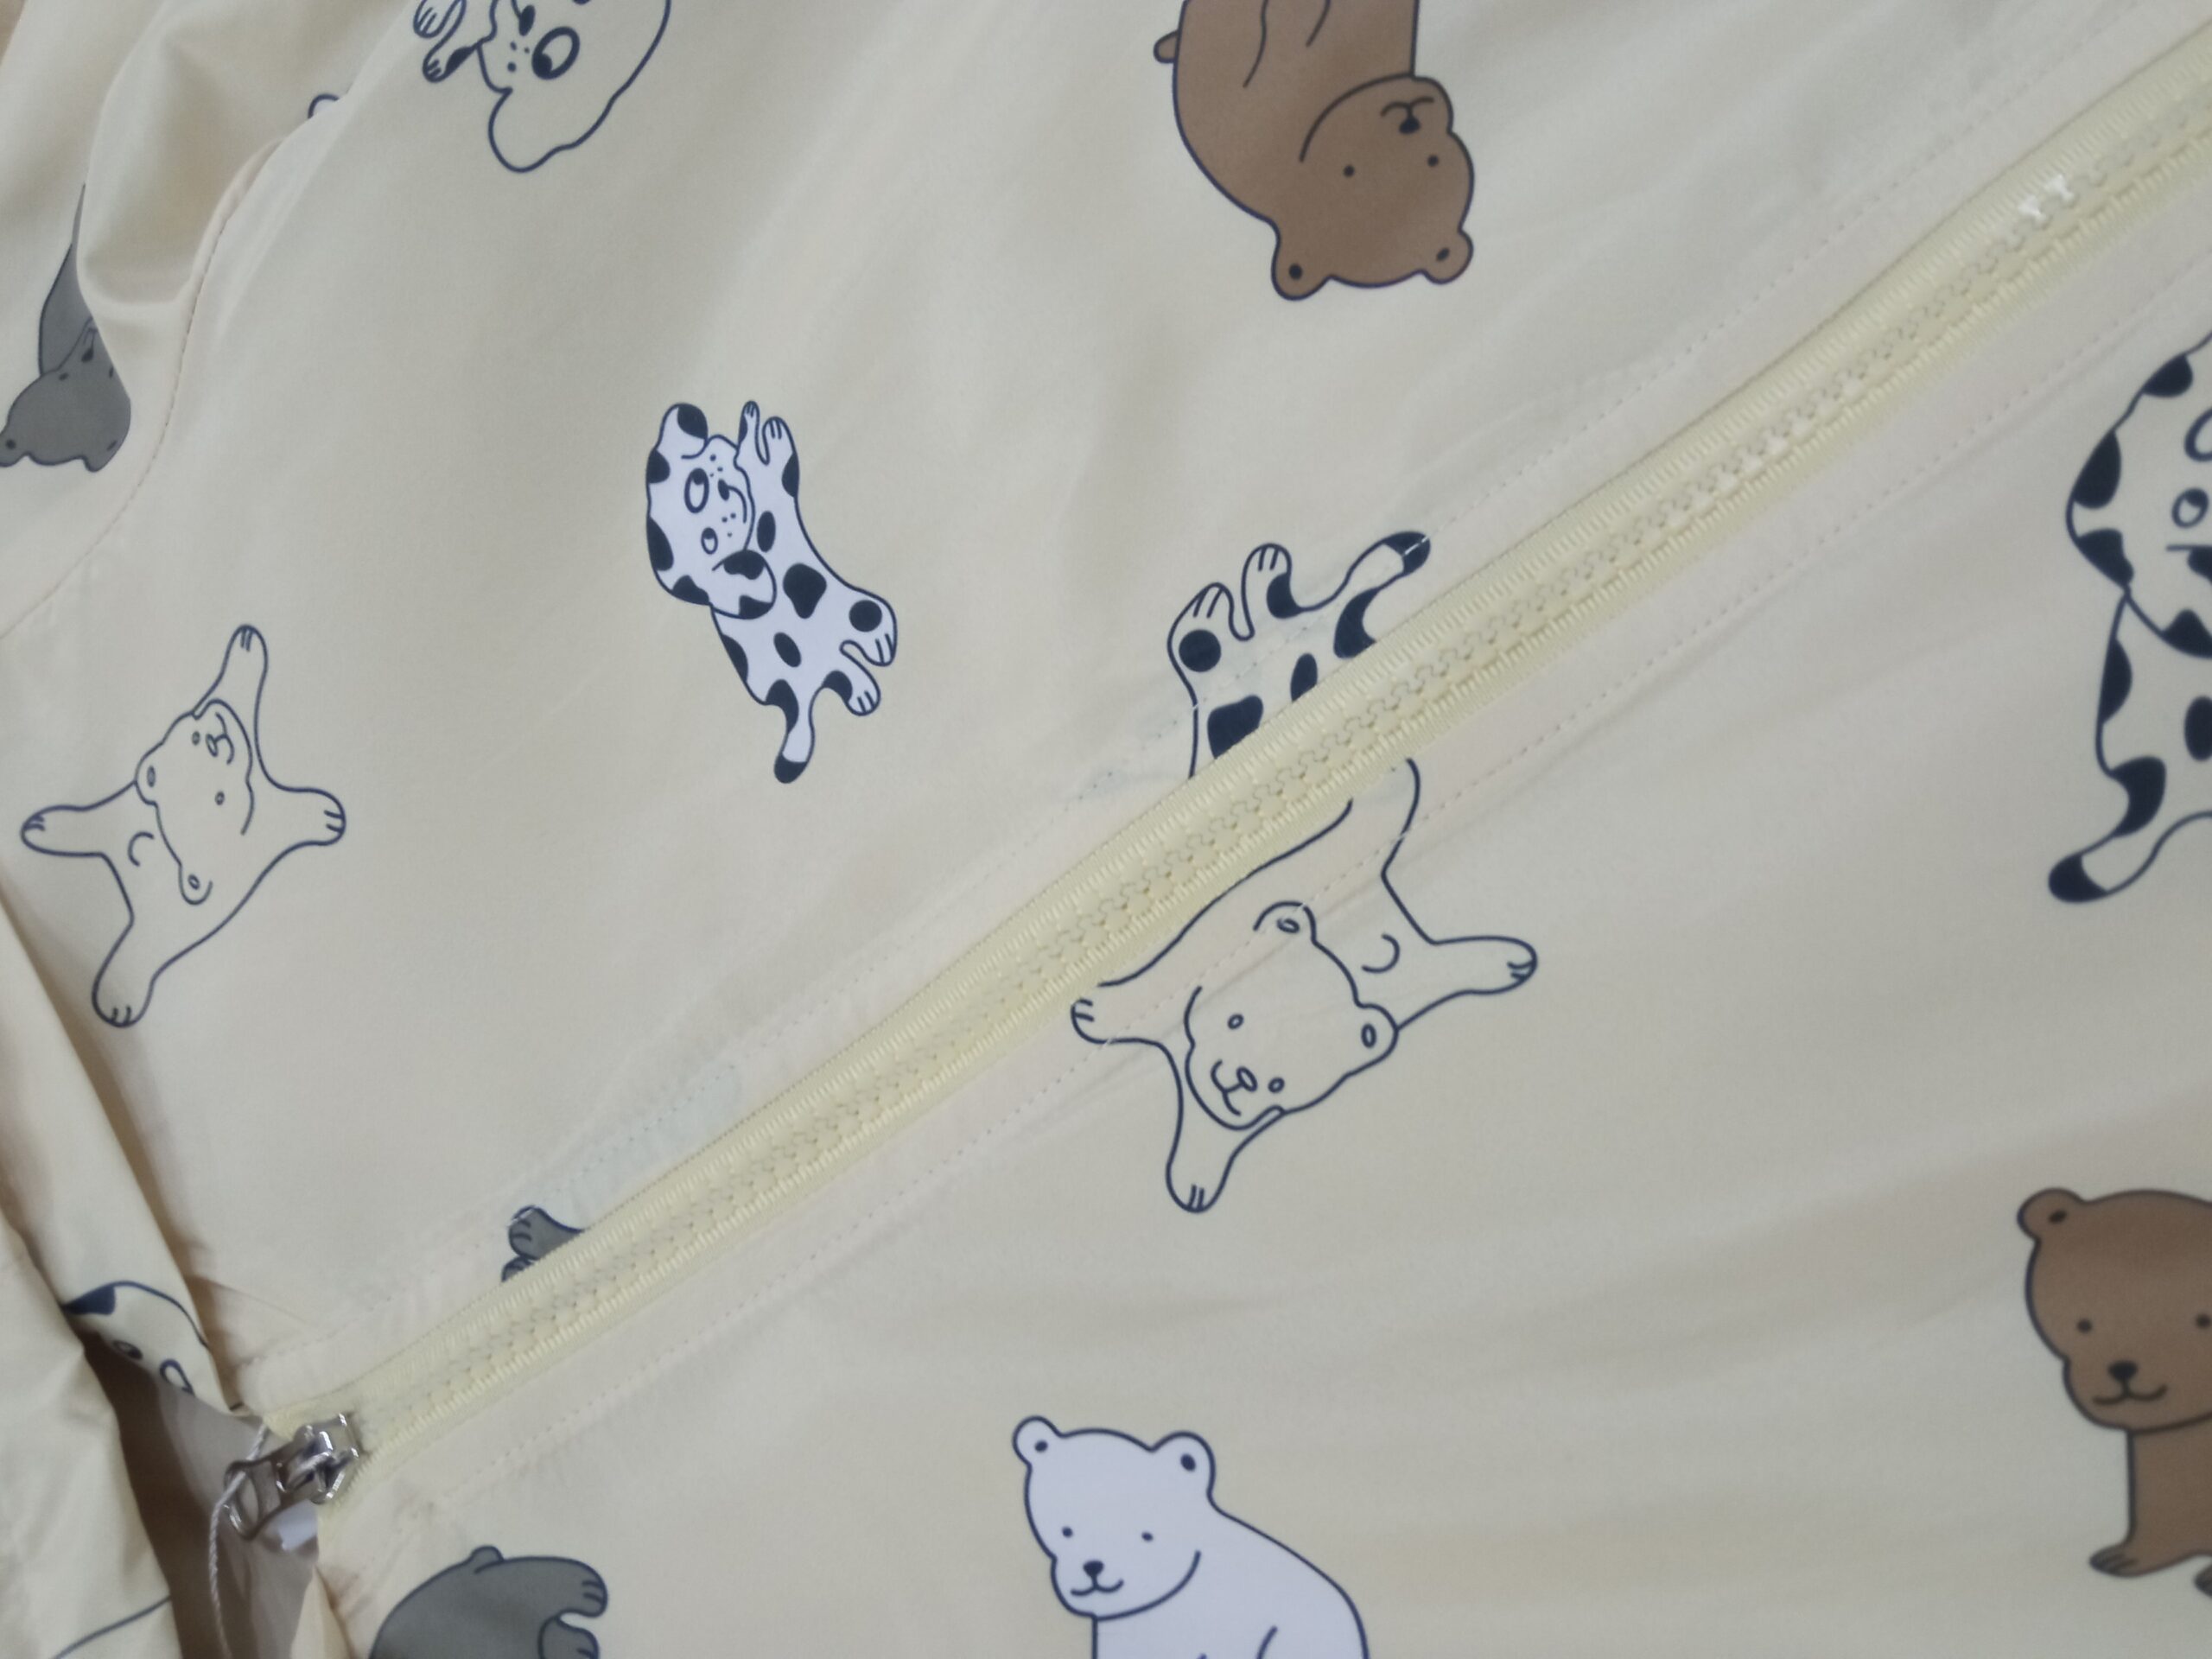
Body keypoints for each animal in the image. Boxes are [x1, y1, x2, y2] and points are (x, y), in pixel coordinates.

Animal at [20, 625, 347, 1026]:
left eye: (220, 797)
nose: (214, 740)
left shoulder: (265, 807)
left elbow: (236, 685)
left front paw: (246, 647)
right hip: (165, 923)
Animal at [644, 400, 899, 783]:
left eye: (696, 485)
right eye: (708, 540)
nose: (719, 486)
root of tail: (798, 695)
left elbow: (767, 475)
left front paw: (757, 437)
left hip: (849, 608)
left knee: (864, 629)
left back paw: (876, 652)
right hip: (792, 668)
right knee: (843, 665)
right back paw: (862, 687)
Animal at [1071, 759, 1535, 1212]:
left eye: (1278, 1084)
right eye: (1234, 1020)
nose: (1242, 1078)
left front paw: (1196, 1179)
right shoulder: (1203, 946)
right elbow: (1149, 993)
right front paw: (1094, 1013)